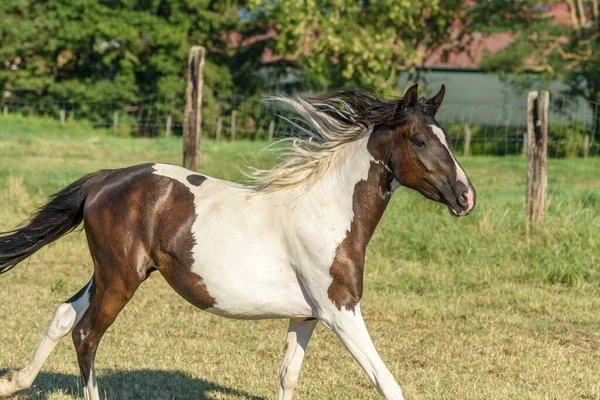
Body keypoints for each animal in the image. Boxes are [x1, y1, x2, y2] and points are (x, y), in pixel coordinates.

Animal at [1, 85, 478, 400]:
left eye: (448, 140)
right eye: (419, 140)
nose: (466, 197)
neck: (327, 211)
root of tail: (104, 179)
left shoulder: (306, 316)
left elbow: (287, 376)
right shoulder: (340, 311)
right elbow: (386, 381)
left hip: (109, 273)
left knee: (64, 314)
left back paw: (13, 382)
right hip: (121, 277)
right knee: (86, 335)